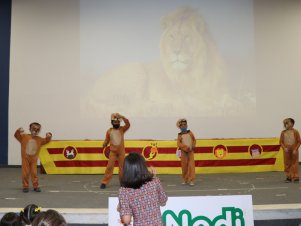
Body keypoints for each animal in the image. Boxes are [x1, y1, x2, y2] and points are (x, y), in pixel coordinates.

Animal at [81, 7, 241, 116]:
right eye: (171, 36)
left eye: (186, 37)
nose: (176, 51)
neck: (198, 70)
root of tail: (91, 91)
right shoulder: (185, 96)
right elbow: (197, 102)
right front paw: (212, 106)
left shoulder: (220, 89)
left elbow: (229, 99)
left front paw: (234, 105)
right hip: (137, 69)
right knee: (135, 107)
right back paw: (158, 107)